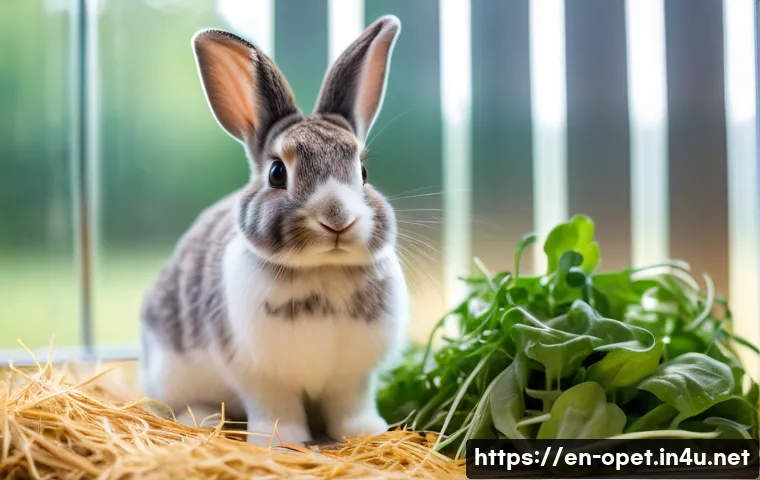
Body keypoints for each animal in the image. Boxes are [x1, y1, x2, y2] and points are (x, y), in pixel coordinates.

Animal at [139, 15, 409, 446]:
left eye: (364, 173)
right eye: (277, 173)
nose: (337, 218)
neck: (323, 272)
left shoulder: (353, 380)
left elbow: (351, 408)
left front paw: (367, 432)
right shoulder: (261, 378)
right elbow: (278, 409)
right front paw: (281, 441)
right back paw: (203, 420)